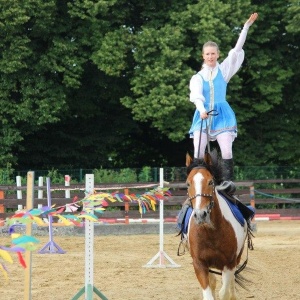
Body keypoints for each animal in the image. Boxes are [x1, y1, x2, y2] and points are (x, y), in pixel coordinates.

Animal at [183, 152, 253, 300]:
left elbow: (224, 292)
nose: (201, 214)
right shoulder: (199, 264)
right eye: (188, 183)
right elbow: (209, 293)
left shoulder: (229, 264)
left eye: (210, 182)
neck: (211, 232)